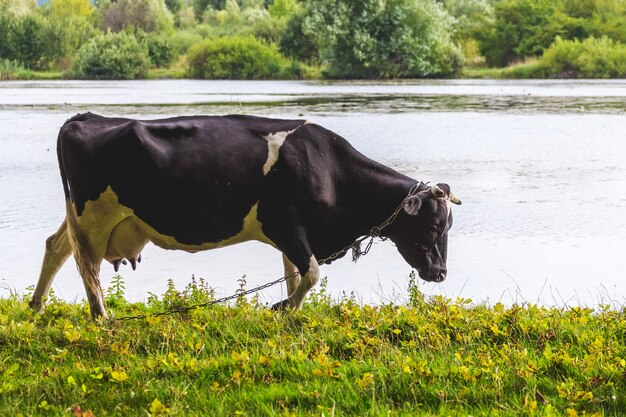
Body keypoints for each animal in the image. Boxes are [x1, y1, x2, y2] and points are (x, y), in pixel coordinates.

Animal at [29, 112, 458, 316]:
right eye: (435, 223)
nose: (440, 274)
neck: (329, 168)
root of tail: (86, 118)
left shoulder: (296, 234)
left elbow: (295, 275)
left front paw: (290, 311)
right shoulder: (285, 224)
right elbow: (311, 273)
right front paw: (282, 308)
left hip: (82, 216)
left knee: (56, 246)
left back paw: (37, 305)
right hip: (94, 215)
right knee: (87, 265)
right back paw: (101, 316)